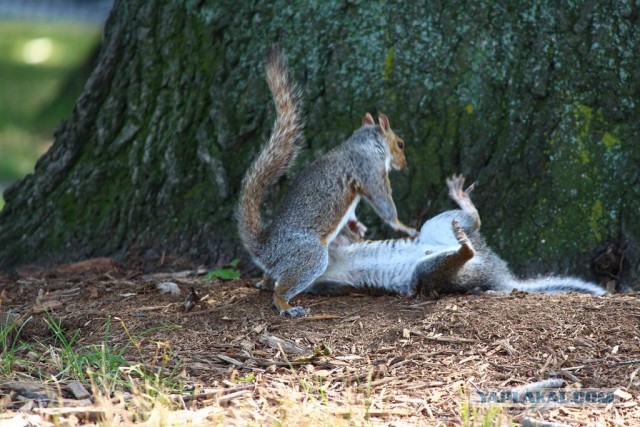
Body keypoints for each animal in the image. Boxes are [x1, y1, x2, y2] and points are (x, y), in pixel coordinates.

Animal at [238, 50, 418, 318]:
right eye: (401, 144)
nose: (404, 164)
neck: (364, 143)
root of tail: (265, 249)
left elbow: (353, 214)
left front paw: (358, 227)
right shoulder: (371, 171)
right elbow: (384, 205)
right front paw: (405, 227)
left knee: (272, 277)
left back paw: (265, 281)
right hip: (309, 255)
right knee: (281, 289)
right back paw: (286, 305)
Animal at [272, 174, 608, 298]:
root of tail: (498, 273)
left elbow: (346, 240)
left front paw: (352, 226)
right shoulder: (326, 282)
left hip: (436, 226)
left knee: (473, 225)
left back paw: (462, 215)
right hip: (431, 268)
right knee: (465, 247)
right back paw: (463, 240)